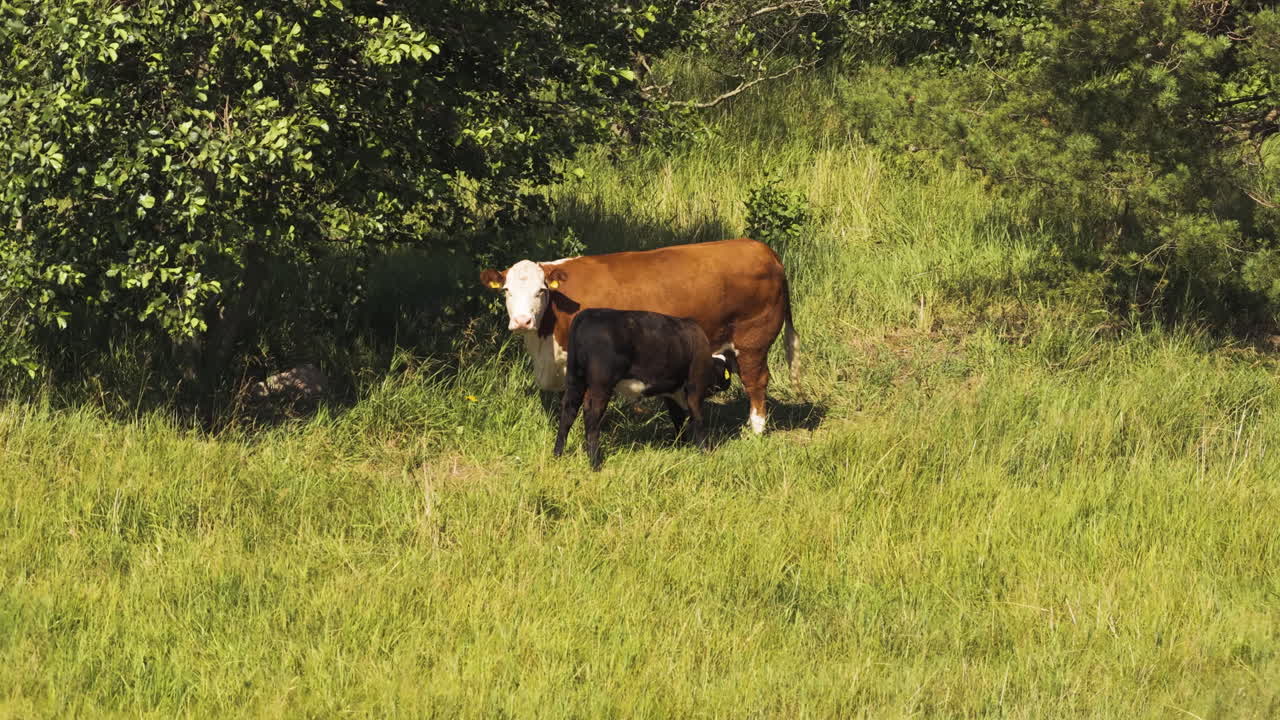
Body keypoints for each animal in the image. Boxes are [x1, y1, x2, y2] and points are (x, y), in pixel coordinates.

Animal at [479, 238, 797, 434]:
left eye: (541, 291)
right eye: (506, 291)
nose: (522, 321)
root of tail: (762, 249)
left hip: (753, 341)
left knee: (756, 382)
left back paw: (756, 430)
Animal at [553, 308, 733, 470]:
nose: (728, 383)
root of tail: (589, 313)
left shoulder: (671, 393)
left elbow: (678, 419)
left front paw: (681, 445)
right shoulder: (695, 388)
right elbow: (698, 419)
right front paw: (705, 451)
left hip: (575, 379)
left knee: (568, 412)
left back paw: (557, 454)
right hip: (601, 386)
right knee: (591, 416)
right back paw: (595, 463)